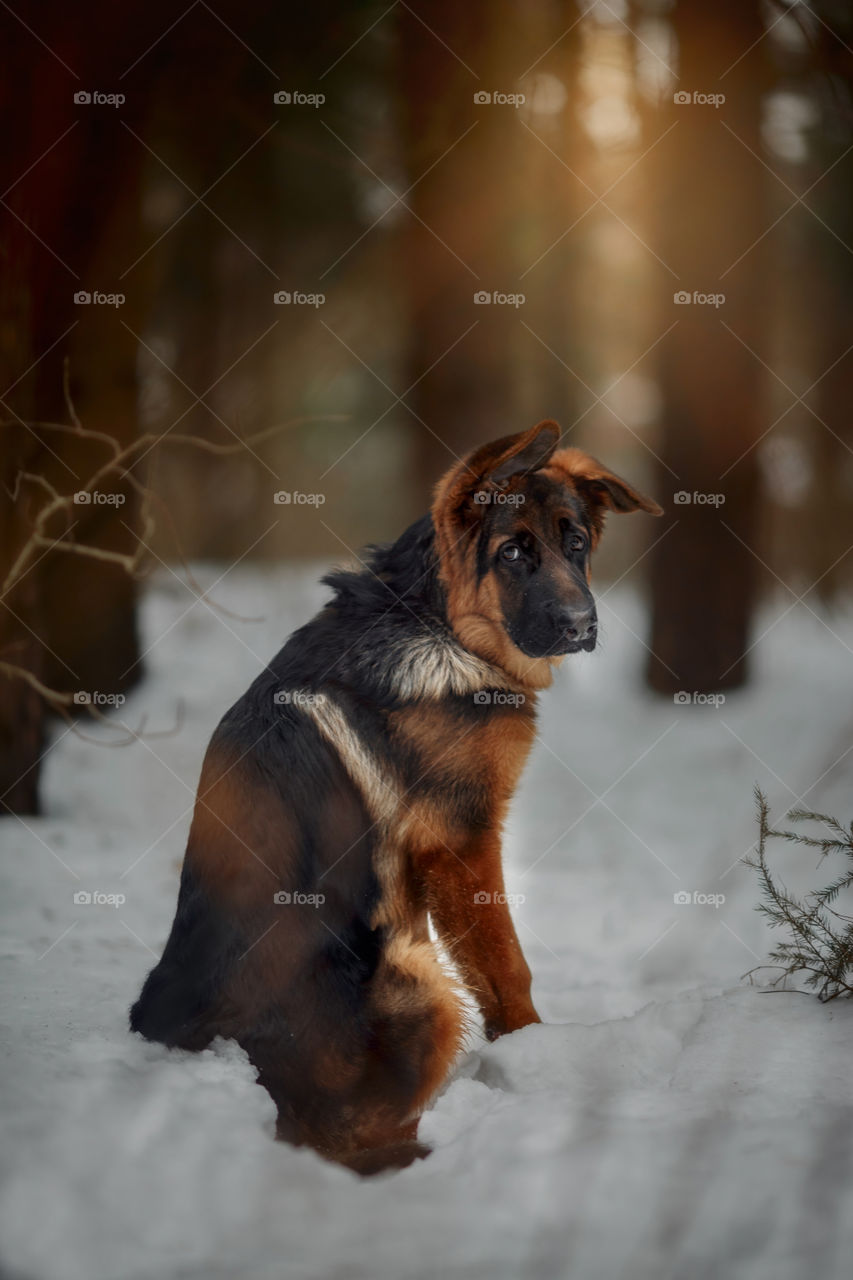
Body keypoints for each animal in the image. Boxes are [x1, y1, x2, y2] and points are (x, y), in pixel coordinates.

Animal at [128, 419, 655, 1172]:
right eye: (512, 552)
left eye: (574, 543)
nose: (581, 626)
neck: (440, 624)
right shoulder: (462, 843)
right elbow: (509, 971)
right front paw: (535, 1060)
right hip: (418, 976)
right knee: (359, 1141)